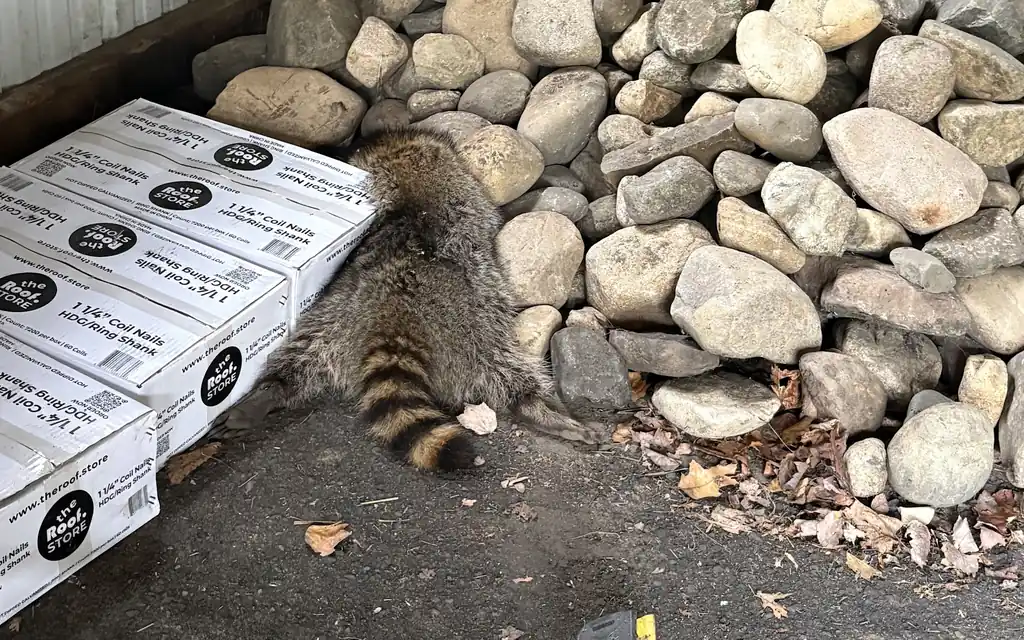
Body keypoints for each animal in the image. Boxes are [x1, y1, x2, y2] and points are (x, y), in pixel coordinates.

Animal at [203, 128, 606, 471]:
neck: (409, 169)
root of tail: (396, 317)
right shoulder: (467, 195)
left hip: (334, 316)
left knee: (303, 356)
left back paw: (274, 390)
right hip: (474, 328)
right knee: (506, 372)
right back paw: (537, 407)